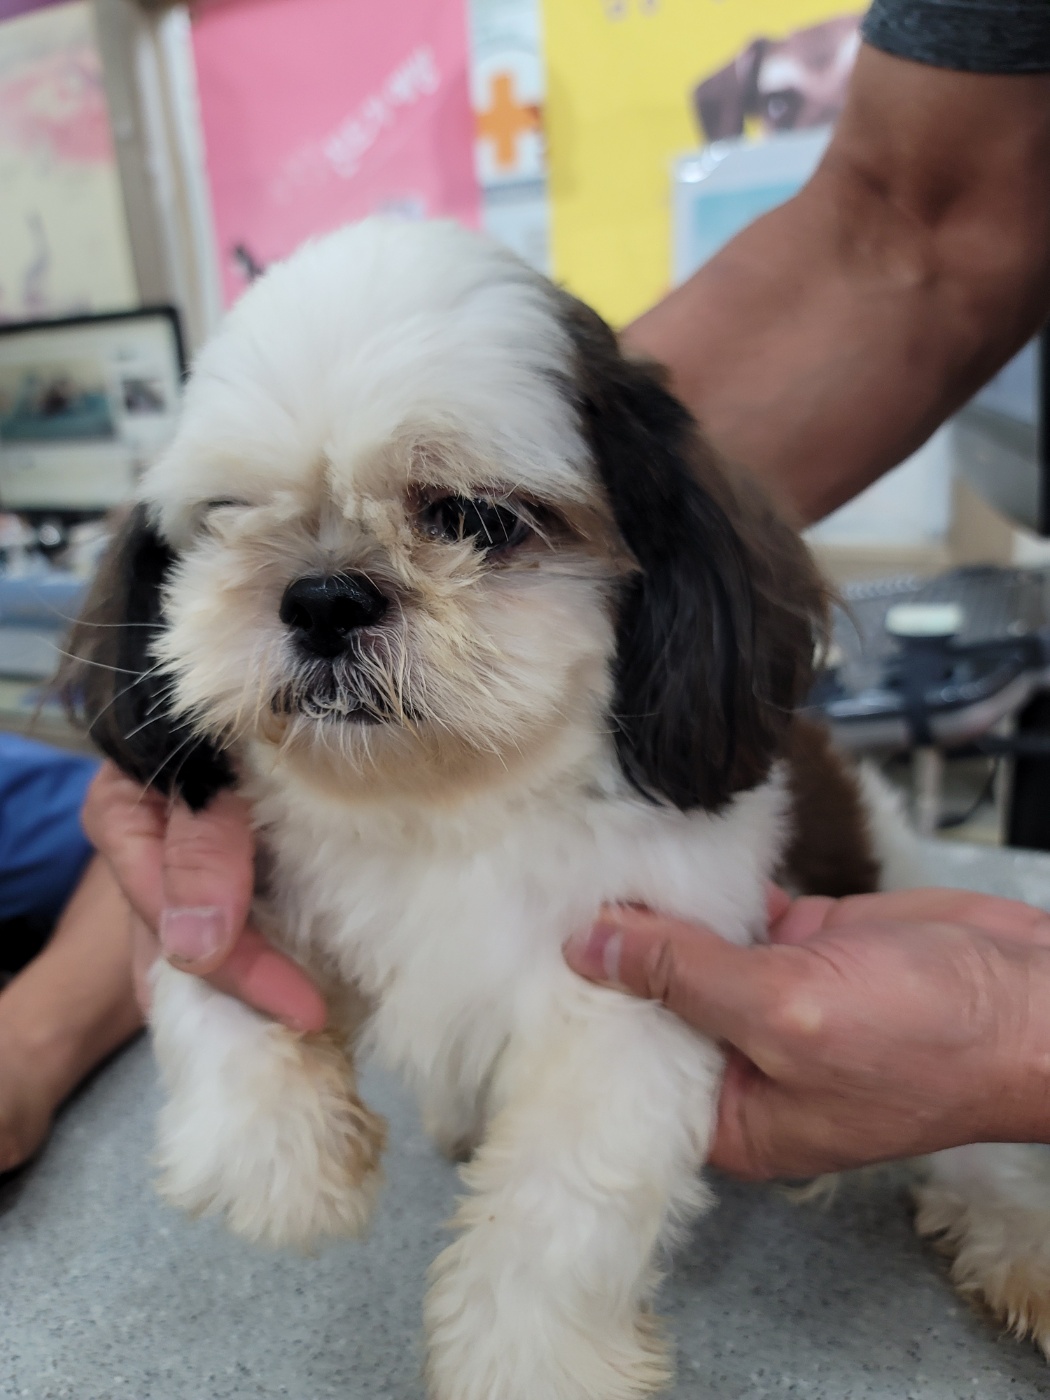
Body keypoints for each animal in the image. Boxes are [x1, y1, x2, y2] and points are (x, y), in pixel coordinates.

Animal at [61, 215, 1041, 1388]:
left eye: (477, 518)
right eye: (228, 517)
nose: (324, 596)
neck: (453, 804)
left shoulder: (635, 992)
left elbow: (560, 1202)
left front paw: (528, 1356)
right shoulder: (257, 877)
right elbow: (198, 971)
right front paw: (277, 1160)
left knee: (981, 1143)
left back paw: (1016, 1236)